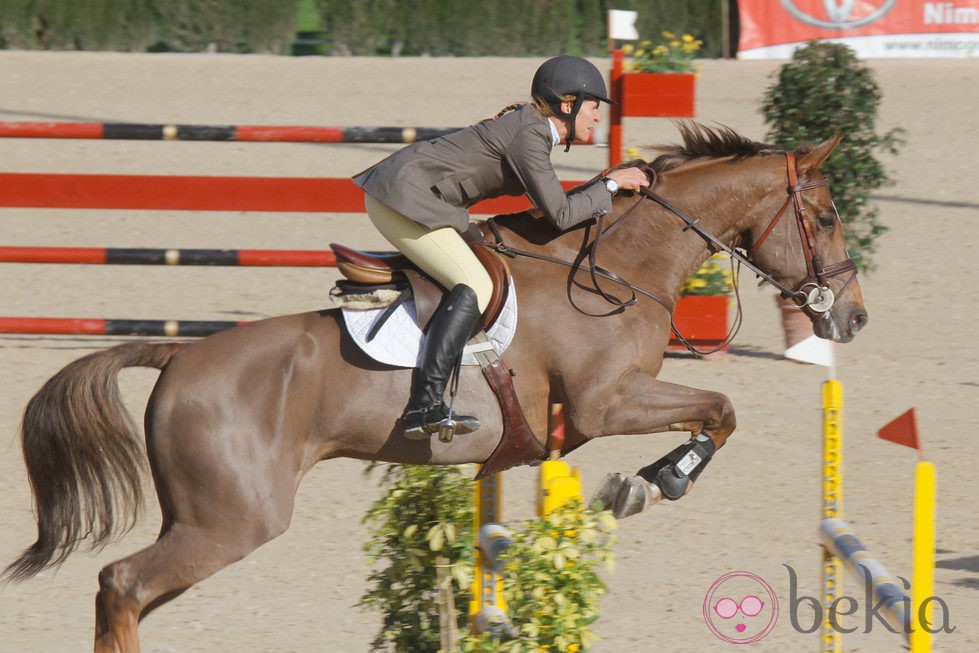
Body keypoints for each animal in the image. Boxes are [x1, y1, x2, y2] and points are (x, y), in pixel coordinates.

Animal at [5, 121, 864, 648]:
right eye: (823, 217)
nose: (852, 317)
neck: (616, 267)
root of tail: (177, 358)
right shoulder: (606, 402)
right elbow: (720, 409)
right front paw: (650, 483)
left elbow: (716, 411)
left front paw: (647, 481)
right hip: (230, 520)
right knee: (121, 582)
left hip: (202, 520)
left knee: (125, 592)